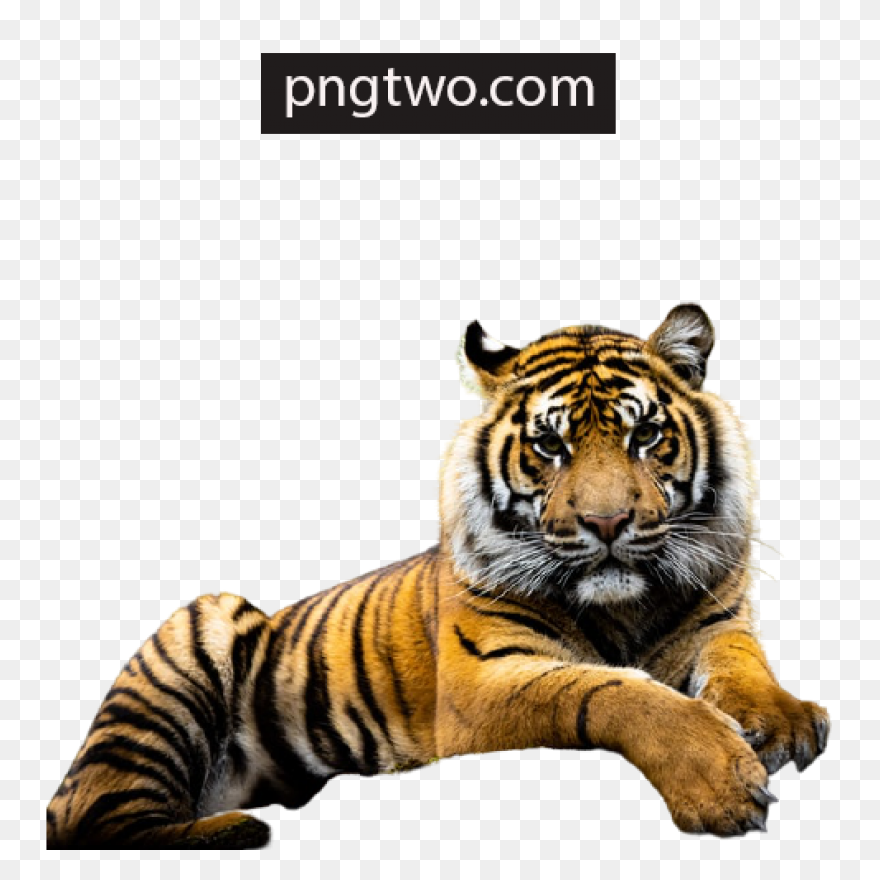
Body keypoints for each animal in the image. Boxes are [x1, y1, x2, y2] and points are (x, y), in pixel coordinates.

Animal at [47, 304, 829, 849]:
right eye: (550, 446)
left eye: (645, 436)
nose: (607, 524)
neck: (623, 609)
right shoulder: (483, 680)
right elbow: (615, 692)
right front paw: (719, 780)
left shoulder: (717, 622)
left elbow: (743, 664)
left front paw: (783, 720)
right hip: (196, 633)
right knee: (93, 819)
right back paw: (239, 831)